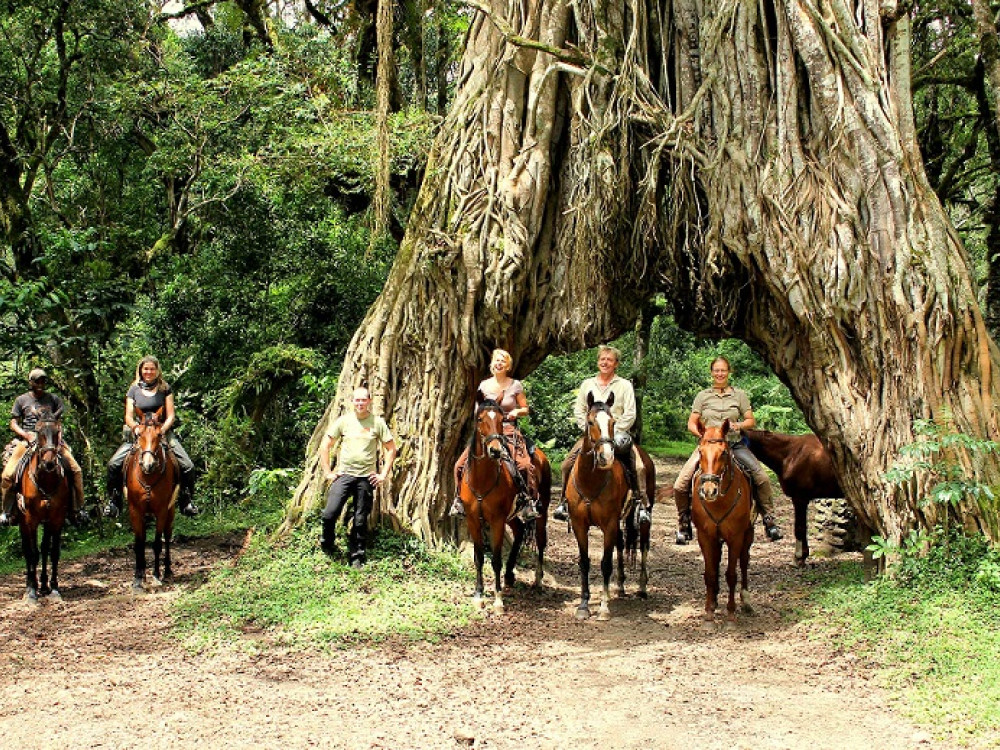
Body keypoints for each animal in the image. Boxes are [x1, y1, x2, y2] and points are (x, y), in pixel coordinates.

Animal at [458, 394, 556, 612]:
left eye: (501, 420)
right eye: (480, 419)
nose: (495, 450)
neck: (482, 479)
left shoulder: (496, 520)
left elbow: (495, 559)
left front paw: (498, 599)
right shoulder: (472, 519)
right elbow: (479, 557)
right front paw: (479, 595)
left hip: (541, 508)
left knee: (541, 540)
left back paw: (537, 580)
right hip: (511, 516)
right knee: (519, 532)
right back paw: (510, 576)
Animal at [692, 420, 752, 624]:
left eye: (724, 452)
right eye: (700, 451)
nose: (709, 490)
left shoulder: (736, 537)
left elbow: (732, 574)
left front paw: (731, 612)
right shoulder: (705, 536)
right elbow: (710, 573)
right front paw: (709, 610)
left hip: (748, 535)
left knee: (744, 561)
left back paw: (746, 600)